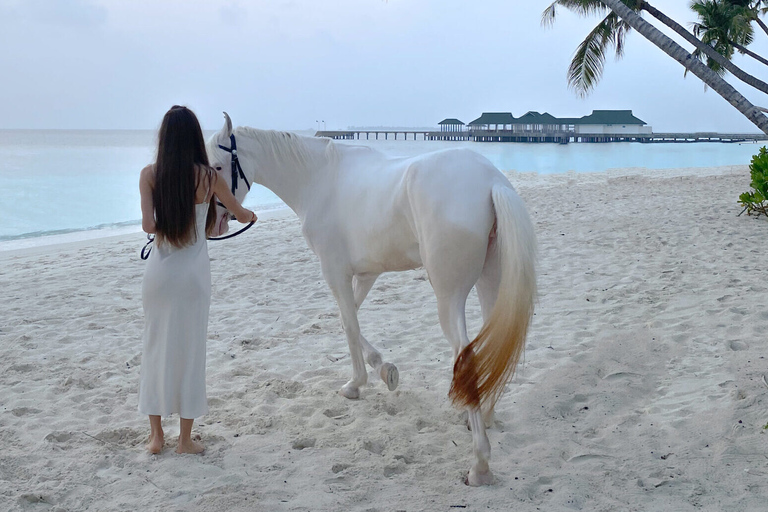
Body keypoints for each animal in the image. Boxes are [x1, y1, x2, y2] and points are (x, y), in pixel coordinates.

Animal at [207, 112, 536, 484]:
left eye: (218, 166)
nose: (215, 222)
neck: (318, 178)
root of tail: (491, 181)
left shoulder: (335, 272)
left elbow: (349, 325)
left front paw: (356, 384)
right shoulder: (365, 274)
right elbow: (348, 320)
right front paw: (384, 371)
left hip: (449, 297)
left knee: (466, 357)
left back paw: (480, 464)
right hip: (489, 283)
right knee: (493, 346)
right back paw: (483, 417)